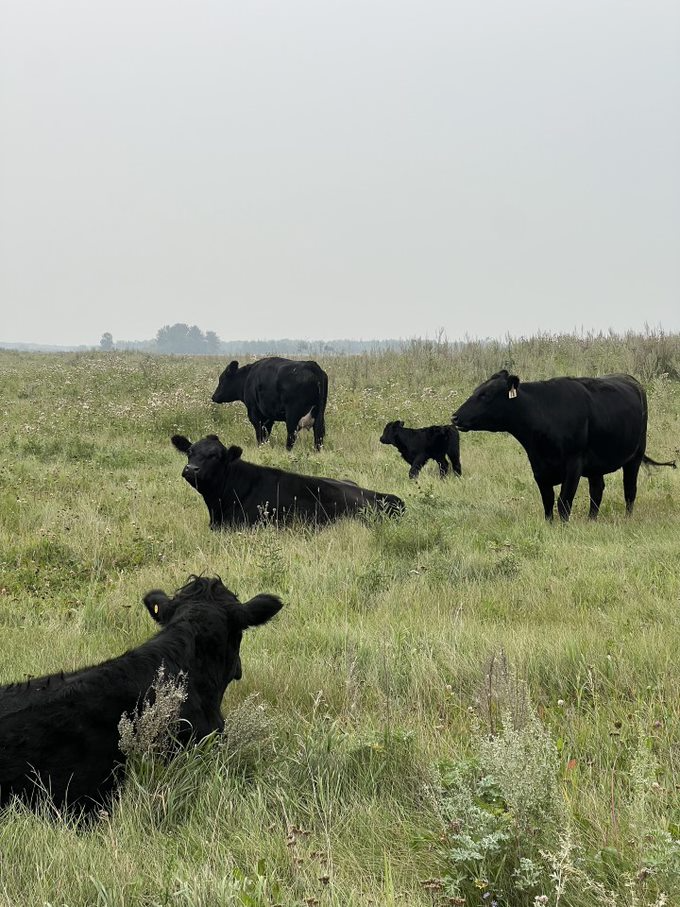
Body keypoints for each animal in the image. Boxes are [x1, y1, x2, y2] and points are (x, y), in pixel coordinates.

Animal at [452, 370, 676, 524]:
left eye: (485, 395)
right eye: (476, 392)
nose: (454, 417)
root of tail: (630, 379)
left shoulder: (573, 464)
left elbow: (563, 502)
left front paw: (563, 527)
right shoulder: (538, 467)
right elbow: (548, 501)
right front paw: (550, 525)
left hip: (634, 456)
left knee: (629, 489)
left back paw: (627, 518)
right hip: (596, 465)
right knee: (597, 490)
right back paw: (591, 520)